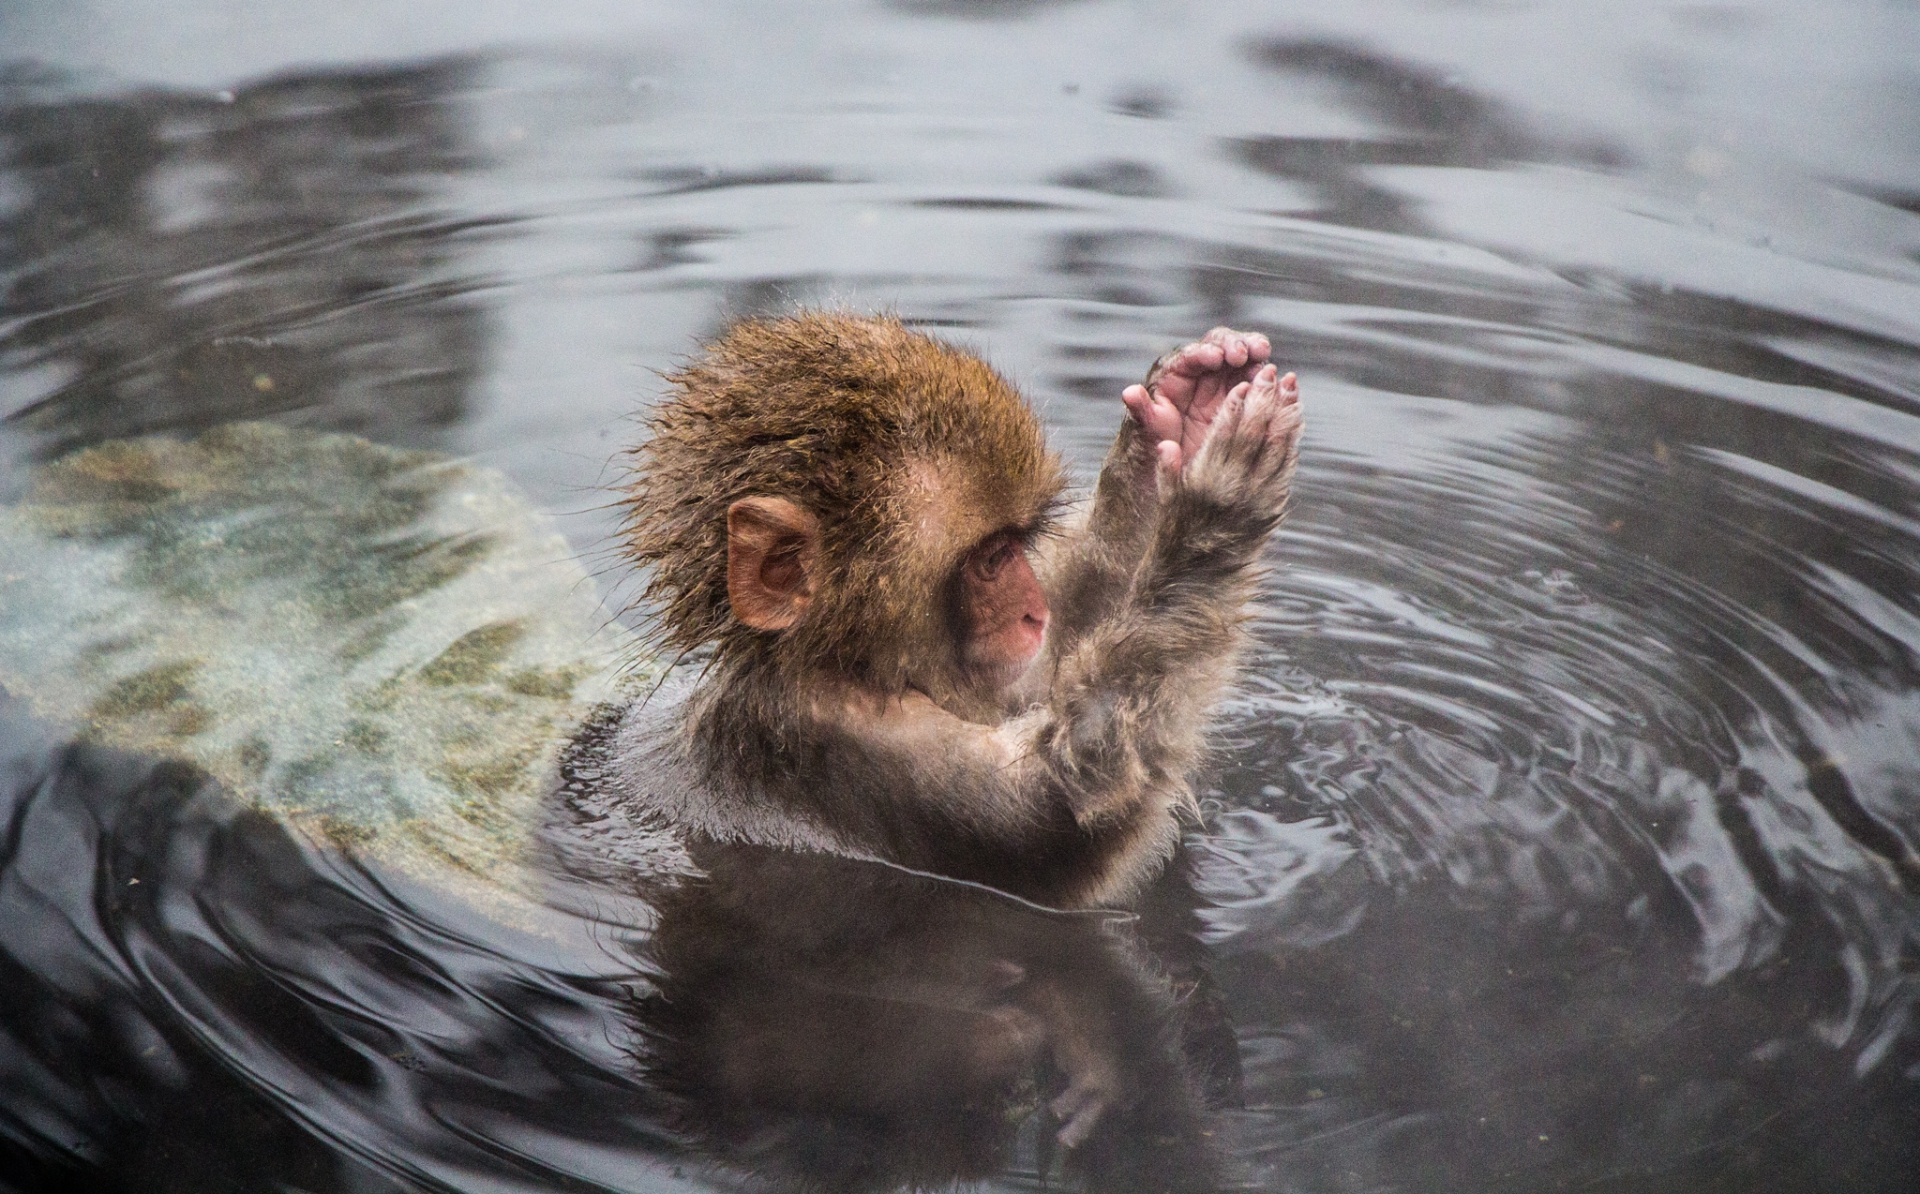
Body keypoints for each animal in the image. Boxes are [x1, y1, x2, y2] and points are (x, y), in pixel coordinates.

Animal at [610, 312, 1305, 913]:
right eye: (992, 558)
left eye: (1016, 544)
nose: (1033, 614)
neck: (838, 665)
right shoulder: (842, 751)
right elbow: (1076, 804)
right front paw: (1216, 510)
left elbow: (1040, 679)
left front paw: (1178, 416)